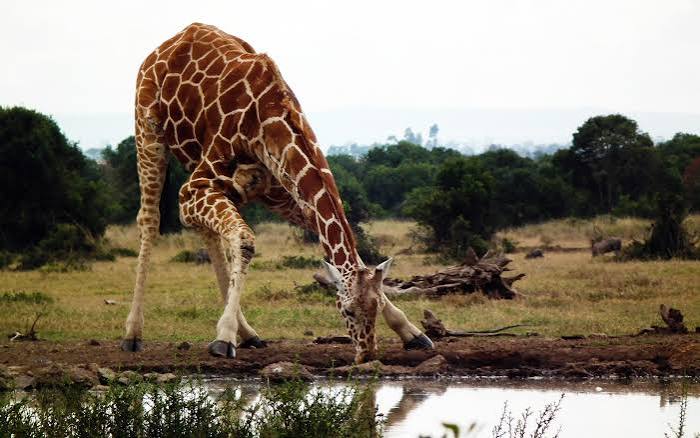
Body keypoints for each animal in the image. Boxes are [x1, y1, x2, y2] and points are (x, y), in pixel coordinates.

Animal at [123, 23, 434, 364]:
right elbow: (245, 241)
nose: (367, 354)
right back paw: (133, 334)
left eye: (375, 308)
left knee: (208, 232)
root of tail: (170, 42)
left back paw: (249, 334)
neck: (269, 120)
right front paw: (224, 337)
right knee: (150, 219)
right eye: (348, 311)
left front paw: (412, 331)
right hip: (147, 129)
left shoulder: (283, 192)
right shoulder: (193, 187)